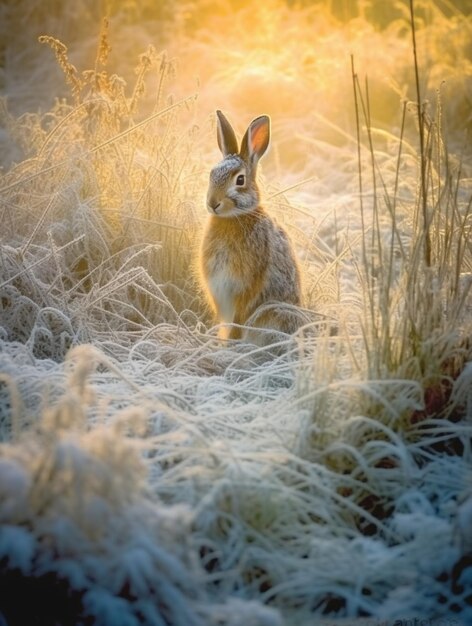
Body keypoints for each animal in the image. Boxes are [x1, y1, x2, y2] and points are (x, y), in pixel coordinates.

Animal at [199, 109, 302, 344]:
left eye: (240, 180)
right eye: (211, 175)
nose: (212, 203)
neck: (234, 217)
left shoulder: (247, 285)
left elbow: (239, 317)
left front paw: (230, 342)